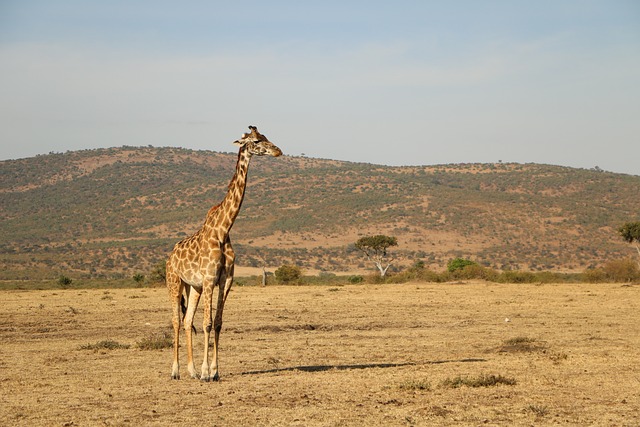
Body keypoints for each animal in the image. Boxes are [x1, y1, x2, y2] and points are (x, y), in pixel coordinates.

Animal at [166, 124, 282, 382]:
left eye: (266, 136)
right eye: (256, 141)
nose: (278, 151)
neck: (223, 229)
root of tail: (170, 256)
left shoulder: (225, 280)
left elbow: (218, 323)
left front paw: (215, 371)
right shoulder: (210, 279)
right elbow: (207, 323)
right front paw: (206, 373)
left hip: (194, 287)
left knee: (187, 321)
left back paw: (190, 371)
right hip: (174, 283)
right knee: (176, 321)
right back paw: (175, 371)